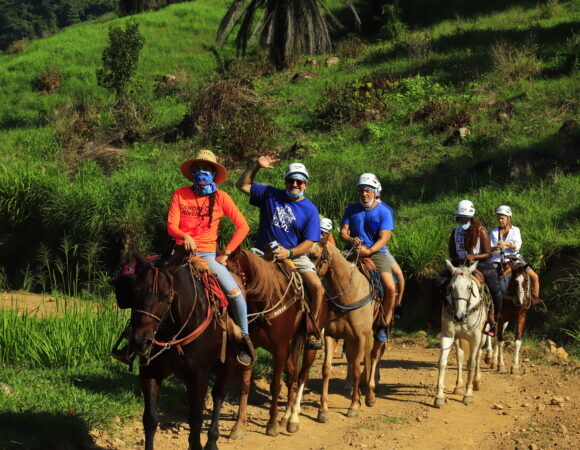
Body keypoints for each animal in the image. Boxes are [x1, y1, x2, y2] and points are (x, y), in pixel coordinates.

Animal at [129, 246, 236, 450]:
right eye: (134, 293)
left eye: (165, 297)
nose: (140, 342)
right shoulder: (149, 373)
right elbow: (150, 419)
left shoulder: (199, 377)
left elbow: (196, 419)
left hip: (227, 365)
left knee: (218, 395)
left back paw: (212, 440)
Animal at [225, 248, 324, 438]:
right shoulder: (251, 349)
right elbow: (245, 385)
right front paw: (238, 426)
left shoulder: (279, 350)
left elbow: (275, 386)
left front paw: (271, 425)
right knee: (292, 374)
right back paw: (285, 416)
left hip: (310, 343)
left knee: (302, 375)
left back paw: (293, 419)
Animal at [310, 241, 378, 420]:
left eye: (314, 255)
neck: (347, 295)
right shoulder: (331, 335)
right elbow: (327, 369)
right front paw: (323, 410)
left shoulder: (360, 337)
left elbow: (357, 369)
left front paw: (354, 406)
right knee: (354, 357)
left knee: (372, 357)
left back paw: (370, 395)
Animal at [436, 260, 490, 408]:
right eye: (451, 287)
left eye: (469, 287)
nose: (459, 317)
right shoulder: (448, 335)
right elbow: (442, 362)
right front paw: (439, 396)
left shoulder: (475, 338)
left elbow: (471, 363)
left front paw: (468, 394)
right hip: (458, 338)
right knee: (460, 357)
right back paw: (458, 386)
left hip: (483, 336)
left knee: (478, 356)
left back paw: (476, 381)